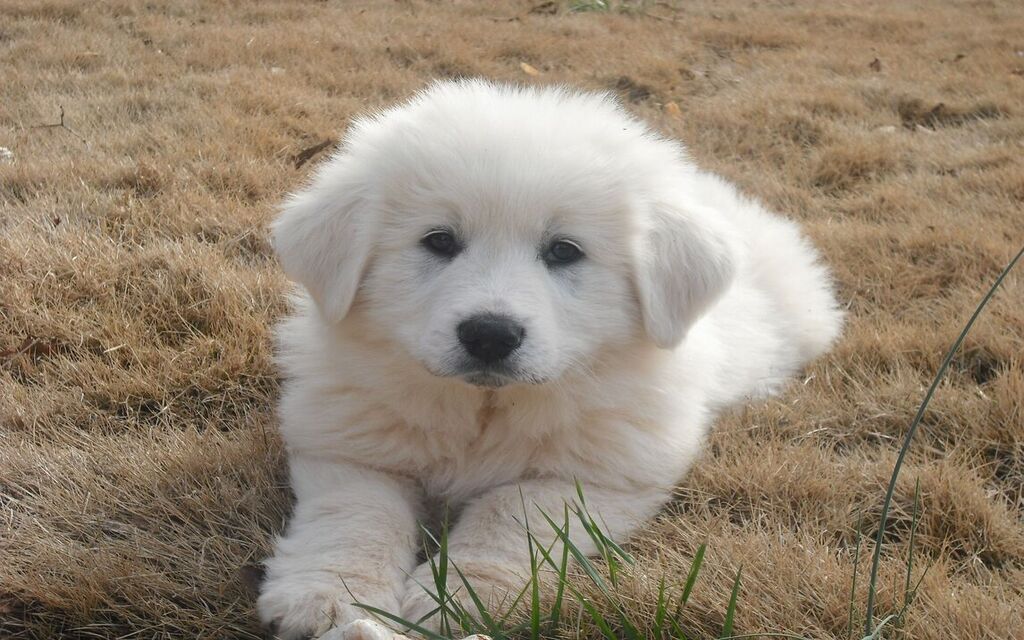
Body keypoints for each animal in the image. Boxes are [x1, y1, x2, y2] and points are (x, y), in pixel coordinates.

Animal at [256, 80, 839, 638]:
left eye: (563, 251)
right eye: (439, 241)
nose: (490, 335)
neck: (485, 408)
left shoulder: (599, 475)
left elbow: (510, 514)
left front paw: (463, 597)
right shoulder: (348, 447)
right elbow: (355, 518)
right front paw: (328, 596)